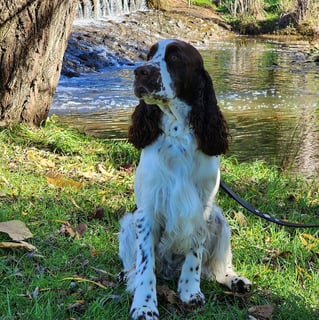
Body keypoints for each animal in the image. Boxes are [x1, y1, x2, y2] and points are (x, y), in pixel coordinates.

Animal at [119, 39, 251, 320]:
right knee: (135, 265)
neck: (177, 133)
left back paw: (235, 280)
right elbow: (146, 265)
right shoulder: (147, 212)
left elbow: (195, 256)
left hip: (220, 221)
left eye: (175, 58)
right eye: (149, 55)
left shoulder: (202, 210)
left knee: (216, 268)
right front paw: (144, 305)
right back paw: (129, 276)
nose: (140, 72)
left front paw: (190, 292)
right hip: (128, 223)